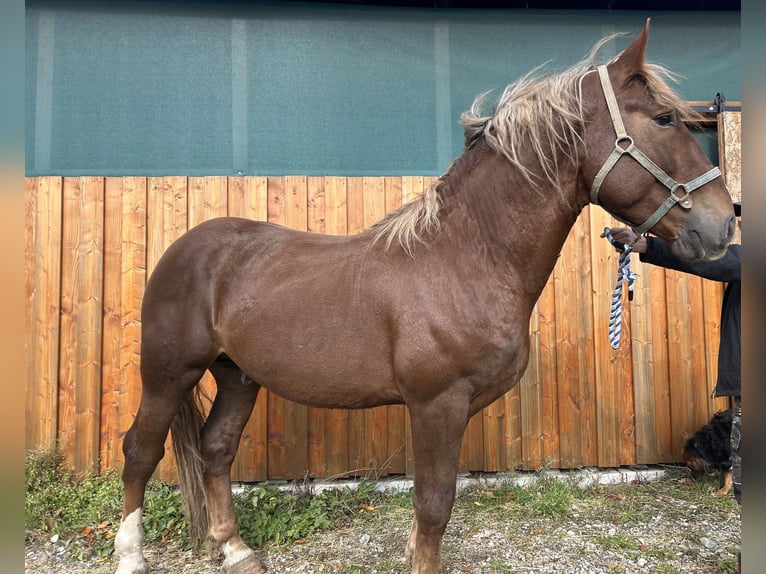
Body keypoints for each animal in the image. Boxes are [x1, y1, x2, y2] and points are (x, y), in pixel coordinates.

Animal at [114, 19, 735, 574]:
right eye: (663, 118)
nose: (723, 224)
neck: (463, 259)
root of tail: (187, 247)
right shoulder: (437, 403)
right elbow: (434, 506)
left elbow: (427, 511)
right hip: (169, 372)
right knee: (140, 452)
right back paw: (131, 556)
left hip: (238, 374)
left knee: (216, 449)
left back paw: (235, 550)